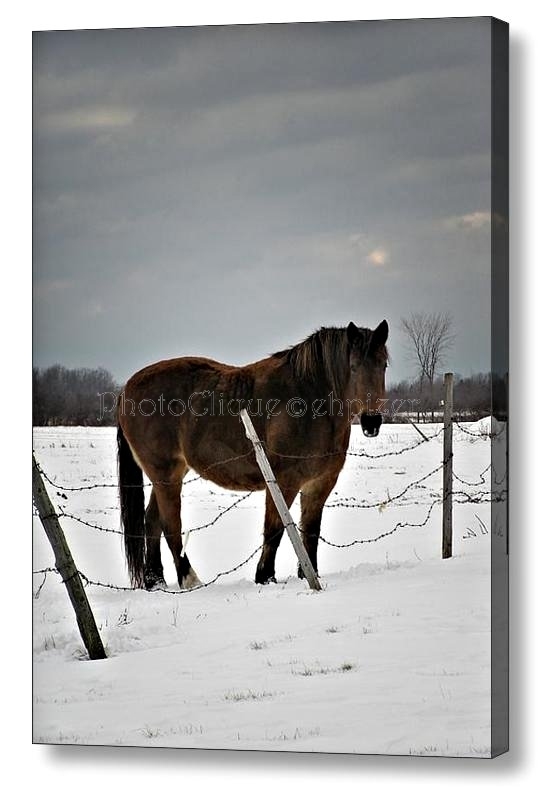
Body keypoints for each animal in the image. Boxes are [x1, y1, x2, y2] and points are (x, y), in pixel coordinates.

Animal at [117, 320, 389, 590]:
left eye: (383, 364)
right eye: (353, 367)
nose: (371, 422)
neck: (310, 401)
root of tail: (126, 389)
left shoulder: (320, 483)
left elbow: (311, 531)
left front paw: (308, 575)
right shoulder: (284, 481)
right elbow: (275, 529)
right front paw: (265, 576)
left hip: (169, 474)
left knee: (152, 522)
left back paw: (155, 581)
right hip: (165, 473)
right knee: (170, 524)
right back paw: (189, 579)